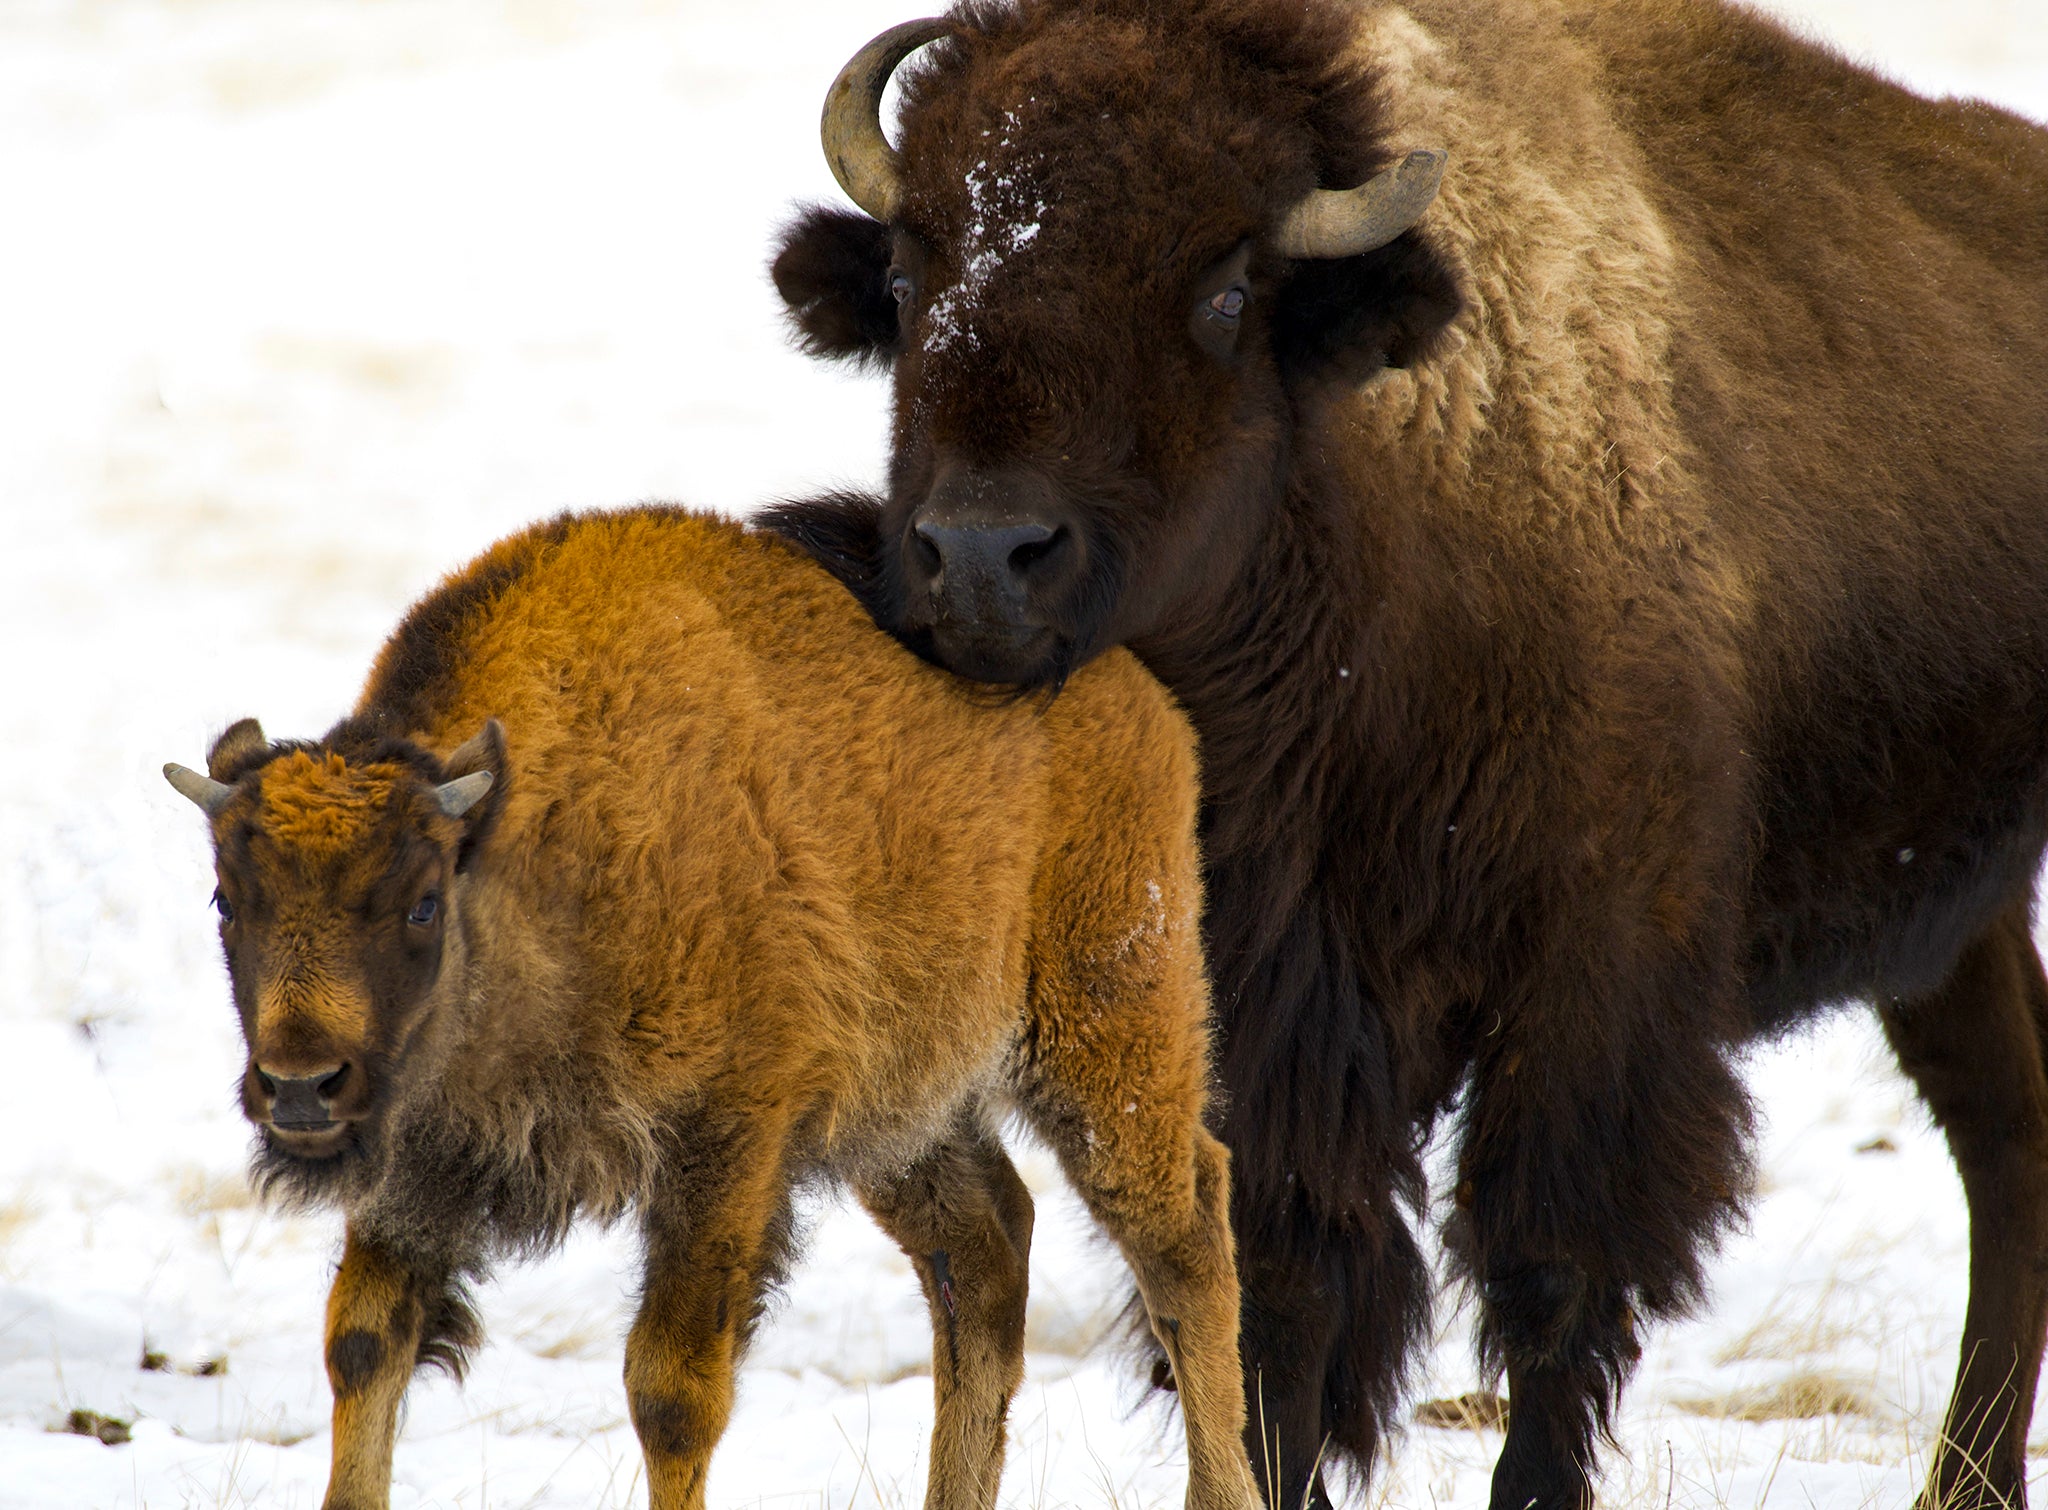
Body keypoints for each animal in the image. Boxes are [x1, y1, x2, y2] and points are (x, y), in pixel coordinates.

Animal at [163, 506, 1261, 1507]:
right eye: (226, 900)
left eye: (420, 903)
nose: (300, 1087)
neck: (528, 844)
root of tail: (1138, 697)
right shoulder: (419, 1160)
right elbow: (363, 1341)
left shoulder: (722, 1145)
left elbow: (671, 1393)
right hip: (902, 1113)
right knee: (986, 1248)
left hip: (1108, 1044)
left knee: (1184, 1246)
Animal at [765, 0, 2048, 1499]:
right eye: (910, 279)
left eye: (1224, 292)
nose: (978, 556)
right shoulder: (1259, 1024)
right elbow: (1280, 1295)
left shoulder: (1592, 988)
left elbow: (1549, 1272)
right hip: (1950, 915)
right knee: (2007, 1121)